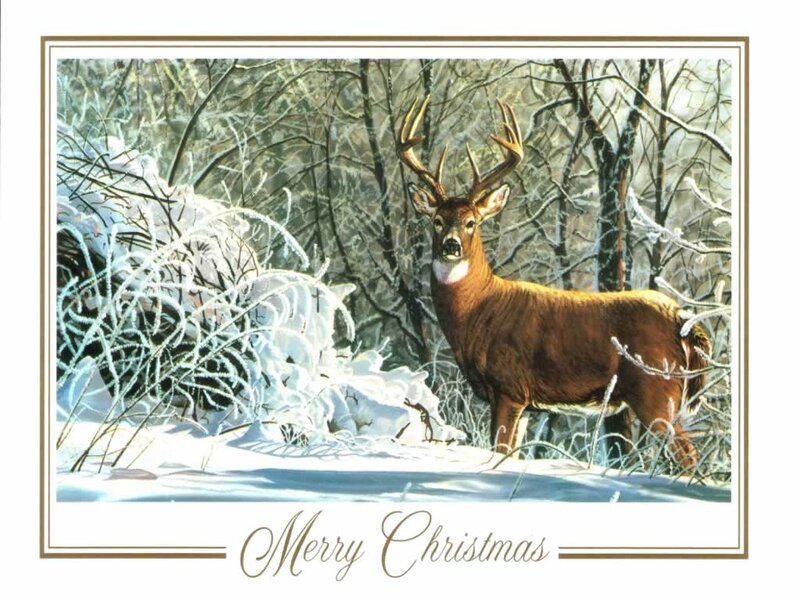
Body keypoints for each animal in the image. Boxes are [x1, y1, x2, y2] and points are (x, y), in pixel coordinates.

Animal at [398, 96, 711, 469]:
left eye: (472, 221)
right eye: (437, 220)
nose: (451, 245)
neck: (479, 312)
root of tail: (682, 319)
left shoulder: (509, 387)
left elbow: (498, 450)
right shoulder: (527, 403)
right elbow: (511, 453)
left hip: (656, 389)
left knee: (688, 454)